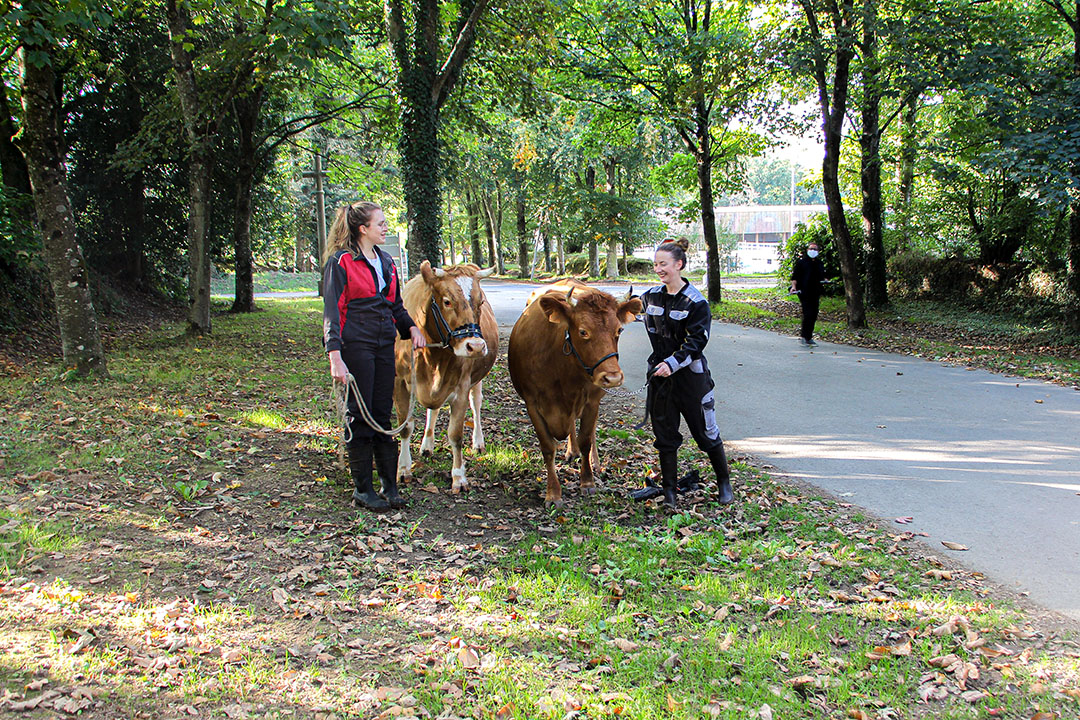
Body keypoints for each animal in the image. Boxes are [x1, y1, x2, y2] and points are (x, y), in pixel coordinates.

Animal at [395, 262, 498, 492]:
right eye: (447, 301)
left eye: (481, 301)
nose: (476, 346)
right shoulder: (400, 384)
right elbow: (405, 428)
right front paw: (404, 469)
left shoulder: (461, 387)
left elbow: (455, 435)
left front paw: (459, 477)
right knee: (432, 411)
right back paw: (427, 445)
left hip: (476, 381)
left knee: (476, 405)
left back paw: (478, 442)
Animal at [505, 280, 639, 507]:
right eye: (583, 331)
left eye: (619, 329)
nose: (612, 377)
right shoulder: (531, 403)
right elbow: (548, 447)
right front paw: (553, 493)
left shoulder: (592, 401)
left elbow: (586, 439)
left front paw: (587, 481)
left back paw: (594, 462)